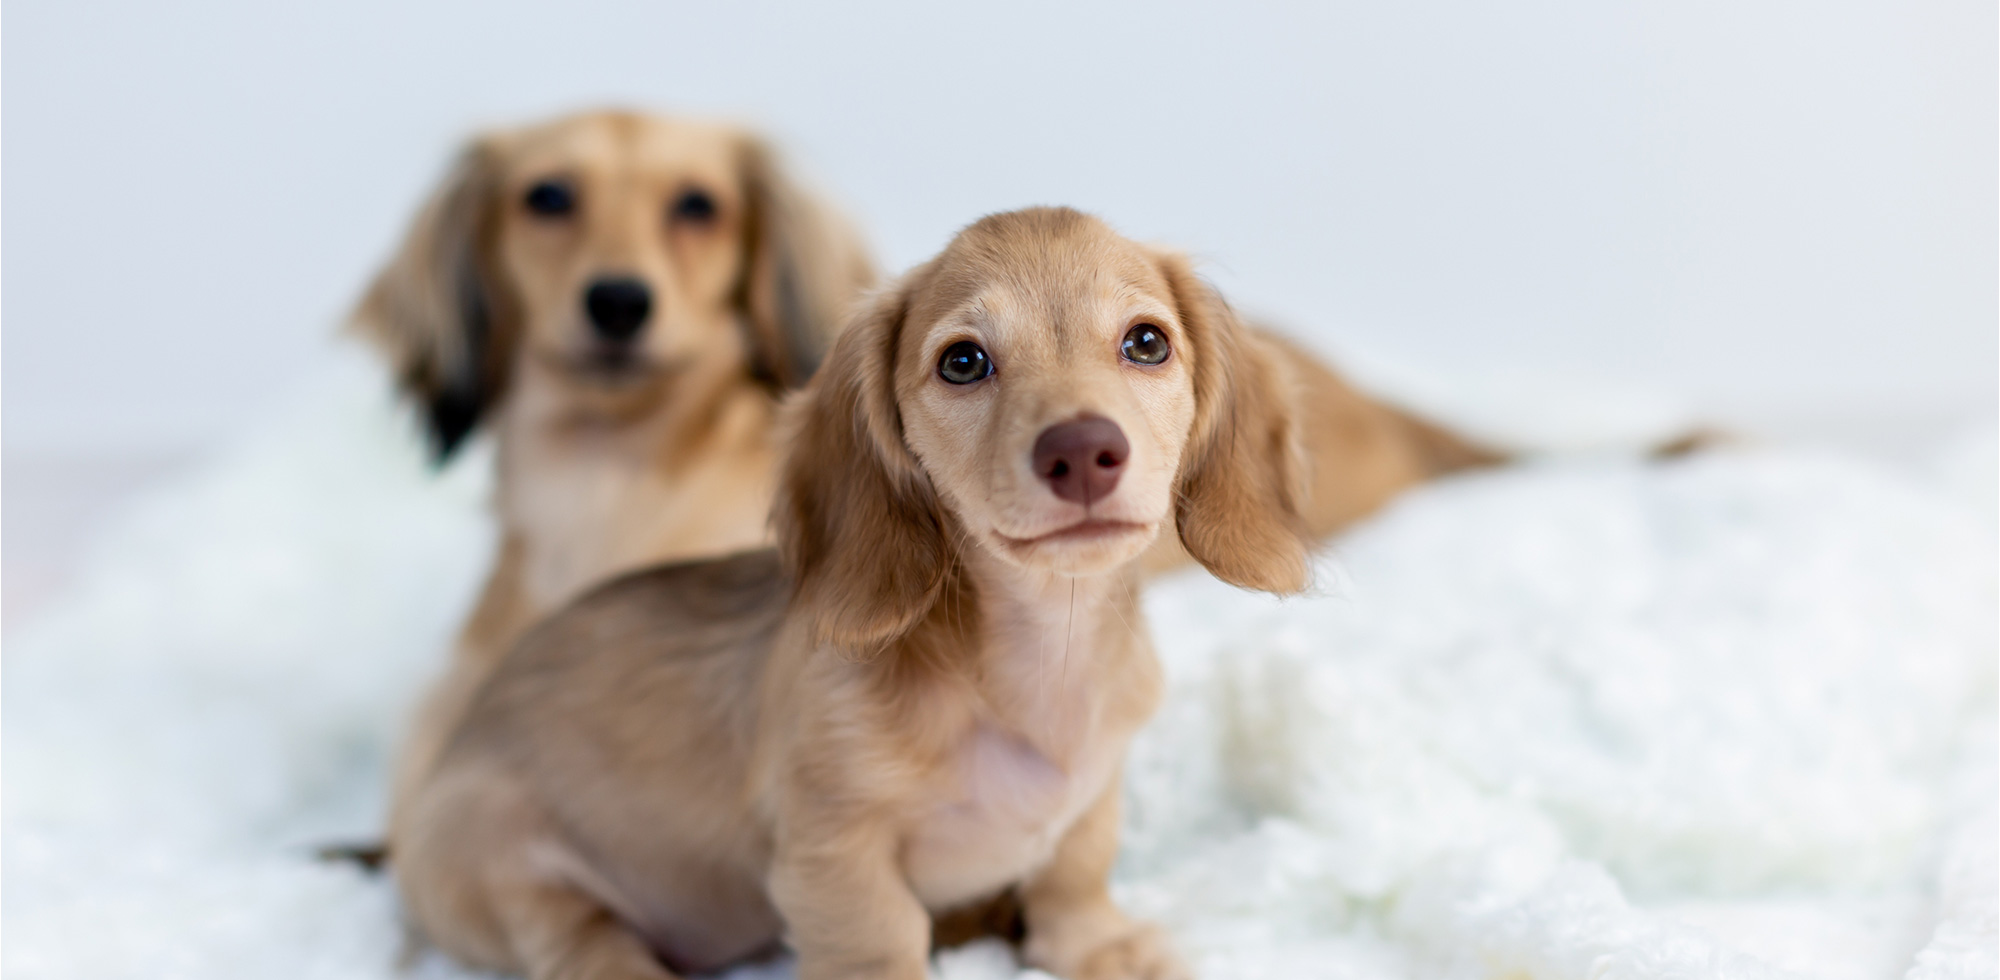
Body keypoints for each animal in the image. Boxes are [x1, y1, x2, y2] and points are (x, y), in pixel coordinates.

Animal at [396, 209, 1320, 980]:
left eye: (1147, 343)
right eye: (963, 361)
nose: (1083, 452)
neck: (1031, 665)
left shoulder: (1093, 799)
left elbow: (1075, 877)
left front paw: (1100, 949)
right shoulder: (832, 849)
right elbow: (879, 937)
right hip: (509, 871)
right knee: (581, 944)